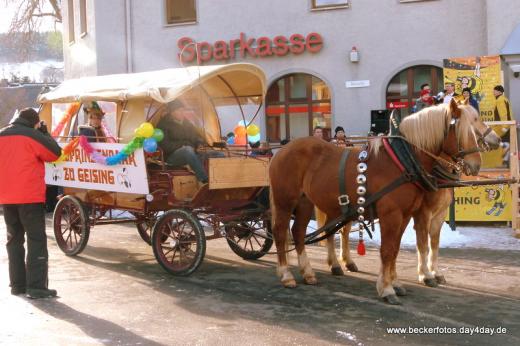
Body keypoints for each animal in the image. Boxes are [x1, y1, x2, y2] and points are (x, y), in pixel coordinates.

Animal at [268, 98, 484, 304]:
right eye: (462, 130)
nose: (476, 165)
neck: (402, 160)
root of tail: (282, 150)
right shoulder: (392, 215)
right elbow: (387, 250)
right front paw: (387, 289)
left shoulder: (405, 216)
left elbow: (395, 249)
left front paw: (395, 283)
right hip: (285, 201)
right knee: (280, 232)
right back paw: (286, 275)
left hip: (305, 202)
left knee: (298, 232)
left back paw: (308, 273)